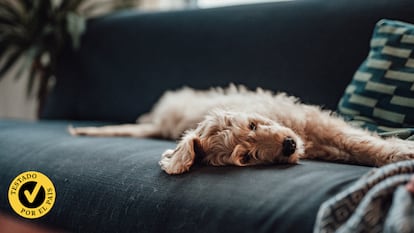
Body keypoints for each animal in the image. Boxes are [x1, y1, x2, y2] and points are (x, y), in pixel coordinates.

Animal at [68, 84, 414, 174]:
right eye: (246, 157)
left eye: (252, 125)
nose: (289, 146)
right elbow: (358, 147)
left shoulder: (316, 120)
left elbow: (359, 142)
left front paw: (400, 151)